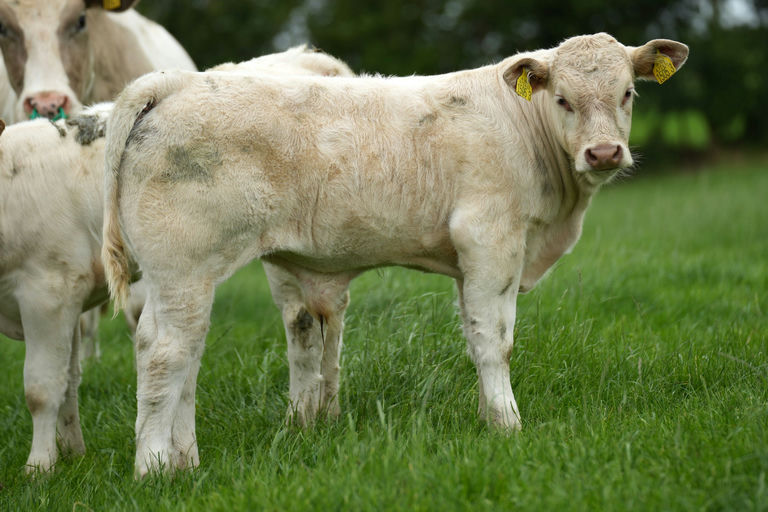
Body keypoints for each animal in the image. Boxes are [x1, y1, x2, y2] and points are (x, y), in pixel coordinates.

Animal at [1, 46, 354, 474]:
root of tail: (309, 55)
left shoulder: (49, 295)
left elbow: (42, 388)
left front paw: (40, 468)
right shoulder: (70, 306)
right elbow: (69, 381)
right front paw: (72, 453)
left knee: (306, 322)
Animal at [101, 33, 688, 477]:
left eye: (628, 93)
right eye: (563, 98)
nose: (604, 152)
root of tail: (175, 83)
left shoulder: (470, 260)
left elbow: (475, 336)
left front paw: (486, 417)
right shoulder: (490, 240)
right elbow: (495, 343)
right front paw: (508, 425)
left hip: (182, 278)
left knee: (183, 353)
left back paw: (186, 460)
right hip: (183, 269)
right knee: (166, 354)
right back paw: (154, 468)